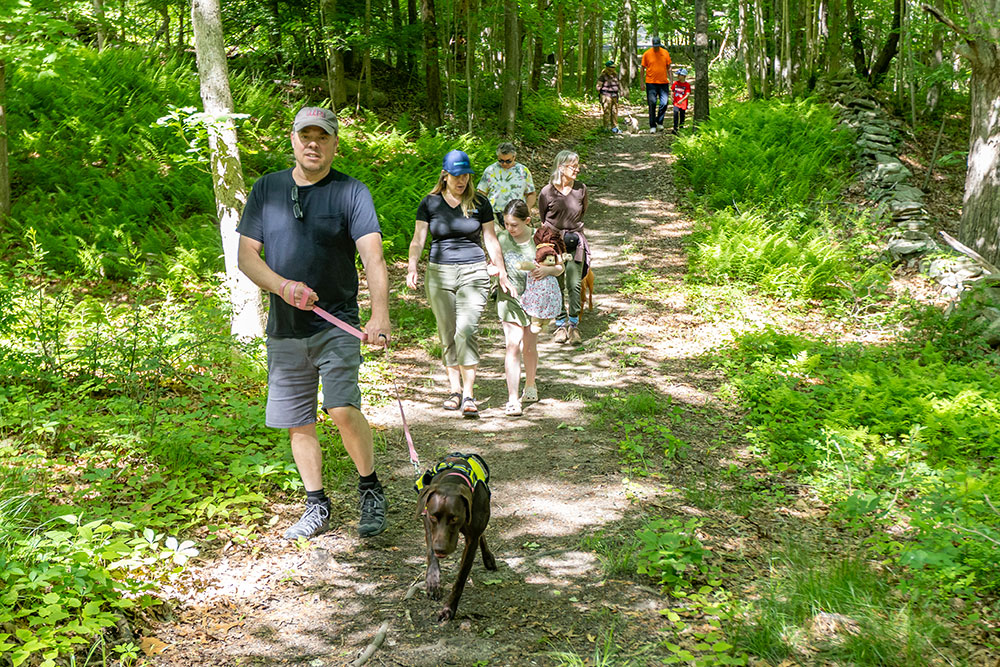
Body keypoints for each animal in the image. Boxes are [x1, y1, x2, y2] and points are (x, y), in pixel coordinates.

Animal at [414, 454, 496, 620]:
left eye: (454, 518)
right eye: (433, 516)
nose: (441, 549)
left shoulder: (472, 540)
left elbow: (460, 579)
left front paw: (449, 608)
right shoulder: (427, 522)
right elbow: (431, 552)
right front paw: (433, 581)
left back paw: (488, 557)